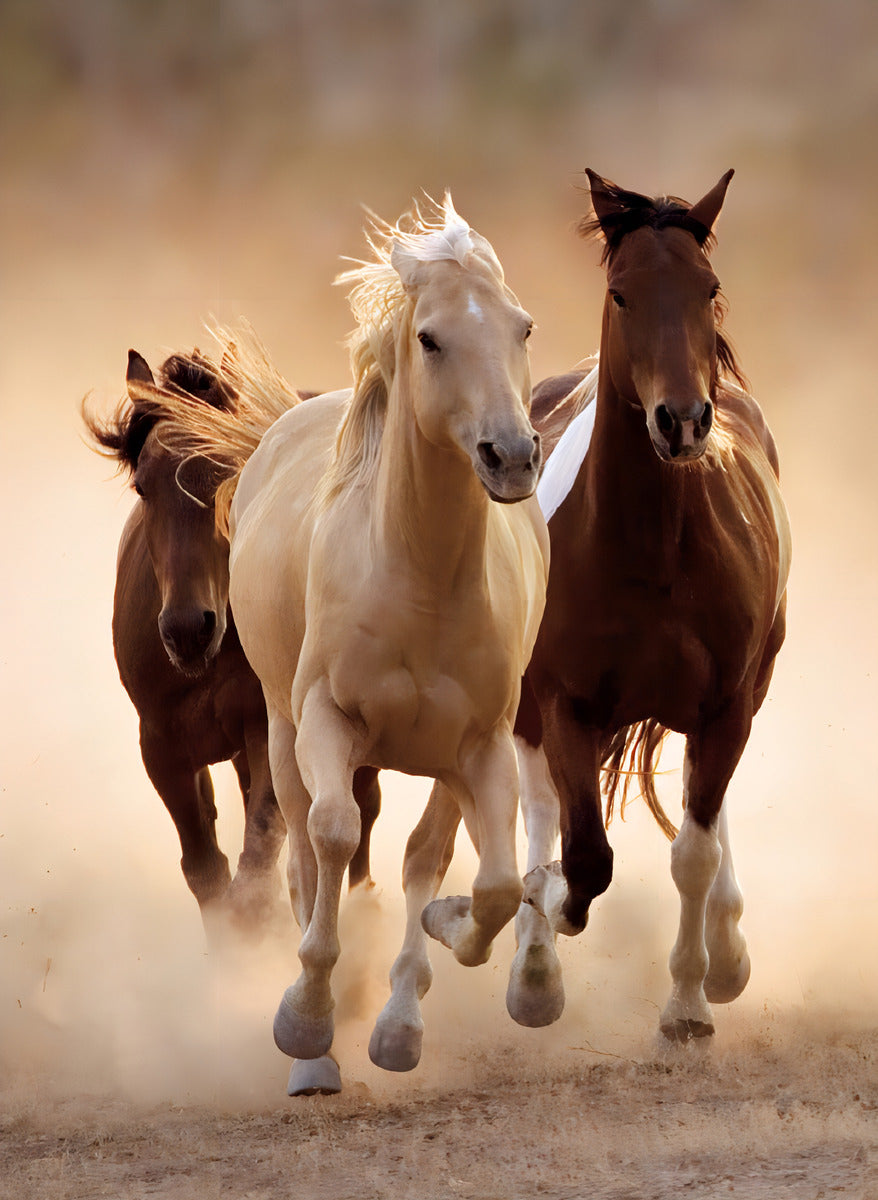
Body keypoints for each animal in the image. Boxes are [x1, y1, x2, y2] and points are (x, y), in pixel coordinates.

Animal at [83, 347, 382, 938]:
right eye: (142, 487)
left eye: (230, 475)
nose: (186, 629)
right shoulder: (162, 748)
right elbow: (208, 873)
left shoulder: (268, 730)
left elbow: (257, 866)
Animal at [156, 196, 548, 1095]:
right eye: (431, 338)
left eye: (523, 327)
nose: (511, 456)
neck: (419, 583)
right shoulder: (326, 722)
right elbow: (331, 839)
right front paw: (305, 1021)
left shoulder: (480, 747)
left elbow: (488, 882)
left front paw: (435, 951)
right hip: (278, 730)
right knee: (306, 851)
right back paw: (317, 1053)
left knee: (420, 856)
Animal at [518, 170, 791, 1045]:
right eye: (621, 292)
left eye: (707, 288)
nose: (682, 420)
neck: (653, 551)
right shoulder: (563, 702)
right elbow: (583, 856)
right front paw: (545, 919)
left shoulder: (726, 706)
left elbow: (693, 852)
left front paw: (689, 1004)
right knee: (539, 808)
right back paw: (530, 966)